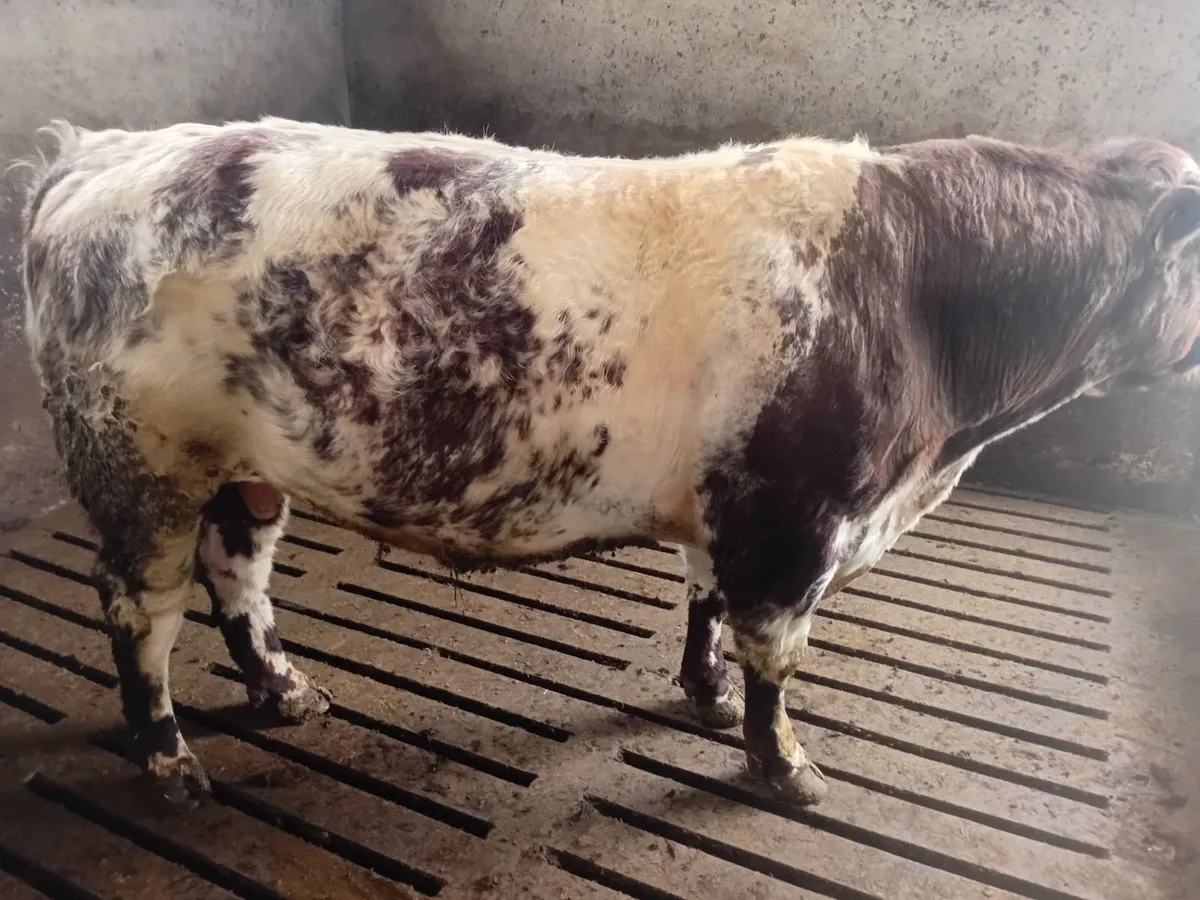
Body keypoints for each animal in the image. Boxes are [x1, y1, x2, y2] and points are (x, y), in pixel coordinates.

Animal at [15, 116, 1200, 808]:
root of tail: (96, 153)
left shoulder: (733, 510)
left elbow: (706, 607)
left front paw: (704, 697)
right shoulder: (792, 528)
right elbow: (777, 660)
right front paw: (788, 770)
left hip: (243, 469)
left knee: (240, 577)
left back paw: (285, 690)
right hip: (141, 468)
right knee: (139, 611)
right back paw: (170, 761)